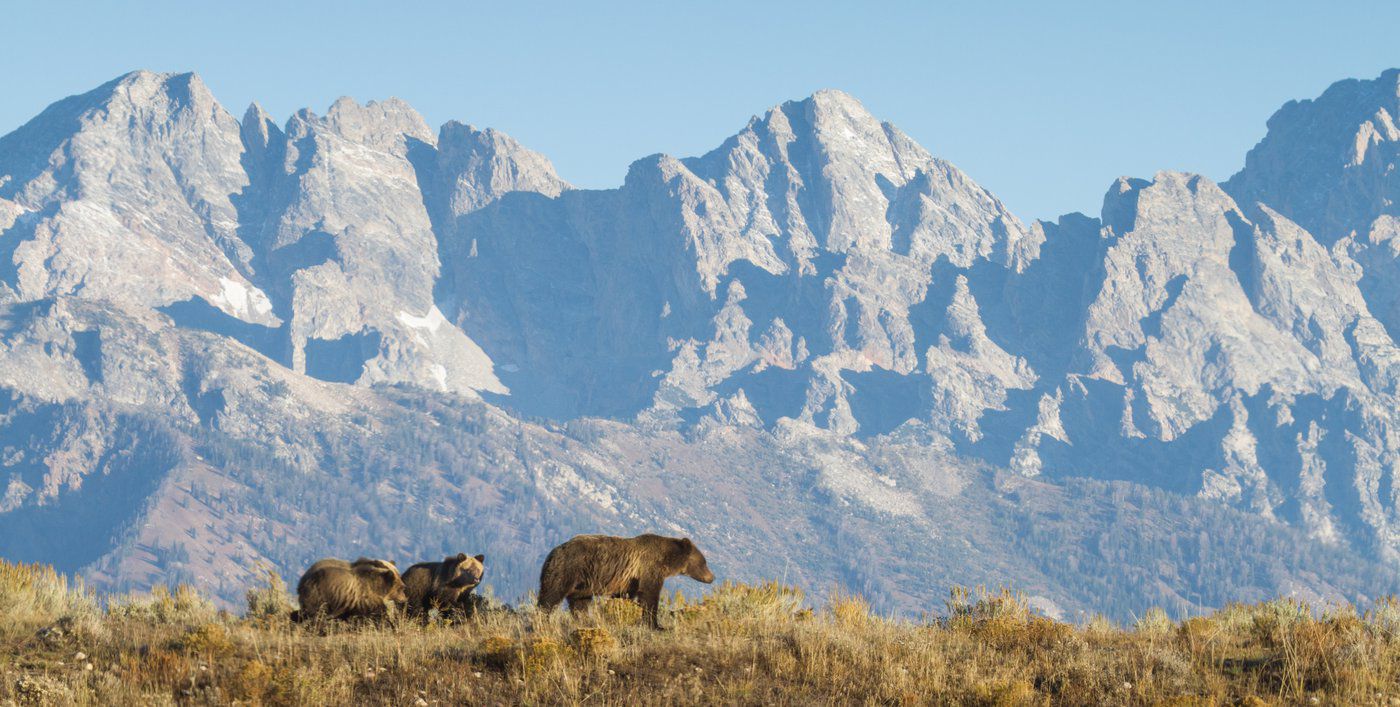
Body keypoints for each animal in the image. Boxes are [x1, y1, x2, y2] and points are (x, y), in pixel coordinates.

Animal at [536, 533, 714, 629]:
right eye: (704, 562)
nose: (712, 578)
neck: (667, 560)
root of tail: (552, 553)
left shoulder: (631, 579)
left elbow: (628, 596)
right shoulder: (649, 568)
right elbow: (649, 596)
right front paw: (656, 625)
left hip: (583, 583)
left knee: (580, 603)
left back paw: (585, 621)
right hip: (568, 569)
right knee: (551, 595)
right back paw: (542, 621)